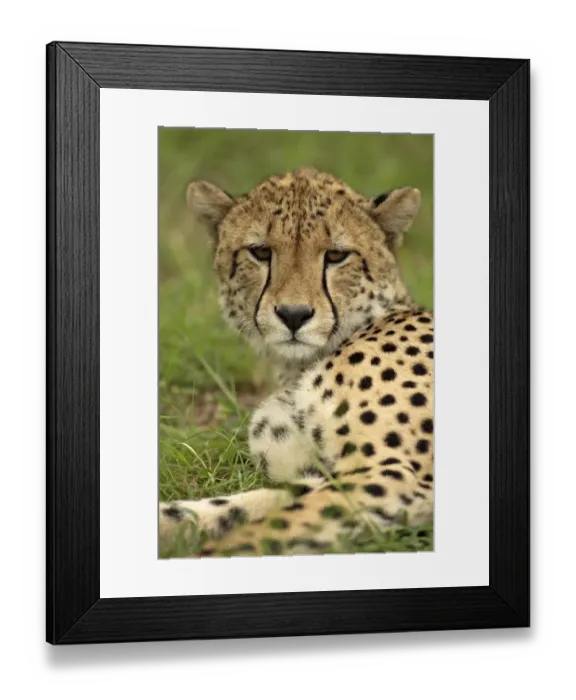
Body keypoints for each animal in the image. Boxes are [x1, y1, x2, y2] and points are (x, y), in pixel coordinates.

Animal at [159, 167, 433, 557]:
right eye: (260, 252)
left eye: (336, 255)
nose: (293, 314)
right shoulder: (320, 476)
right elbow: (237, 507)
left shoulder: (394, 474)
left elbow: (272, 528)